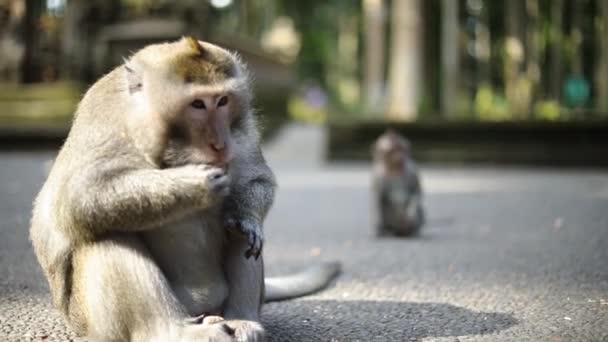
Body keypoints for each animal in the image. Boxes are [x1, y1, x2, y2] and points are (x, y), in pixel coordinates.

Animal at [29, 38, 338, 342]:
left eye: (223, 101)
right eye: (197, 104)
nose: (220, 144)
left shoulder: (241, 128)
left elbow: (255, 179)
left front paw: (245, 216)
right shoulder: (104, 117)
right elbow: (78, 198)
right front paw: (196, 183)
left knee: (239, 238)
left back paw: (241, 320)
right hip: (93, 321)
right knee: (106, 233)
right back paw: (172, 332)